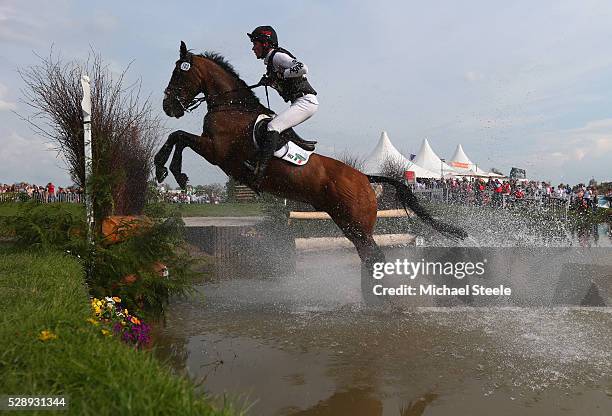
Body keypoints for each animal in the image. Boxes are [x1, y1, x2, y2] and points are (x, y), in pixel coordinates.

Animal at [155, 42, 466, 268]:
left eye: (179, 73)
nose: (168, 106)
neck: (231, 107)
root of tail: (365, 178)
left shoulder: (217, 151)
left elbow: (179, 136)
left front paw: (170, 171)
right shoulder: (215, 150)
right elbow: (177, 136)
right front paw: (167, 171)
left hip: (357, 225)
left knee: (374, 256)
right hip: (347, 224)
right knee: (369, 256)